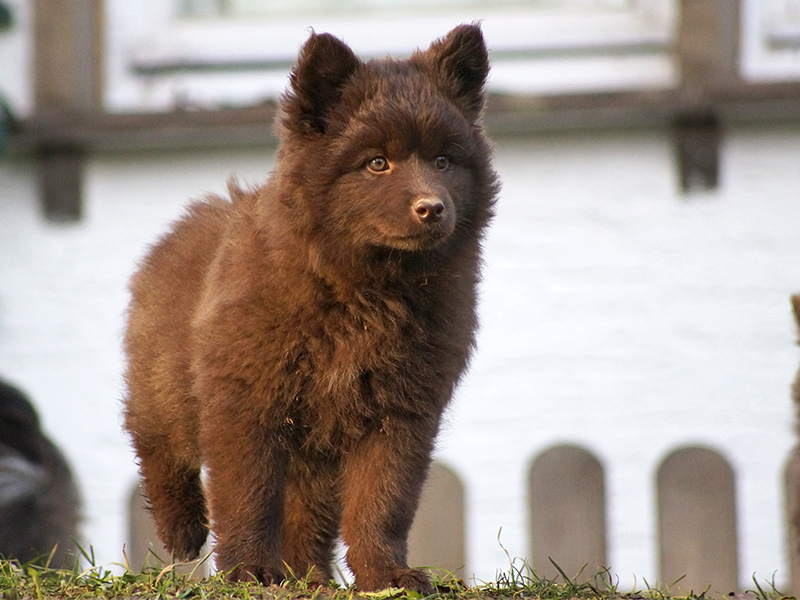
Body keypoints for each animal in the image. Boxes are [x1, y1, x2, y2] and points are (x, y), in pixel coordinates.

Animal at [122, 24, 496, 596]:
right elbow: (248, 495)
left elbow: (383, 501)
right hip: (167, 382)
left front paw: (386, 574)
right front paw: (250, 572)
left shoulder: (401, 412)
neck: (365, 292)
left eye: (443, 161)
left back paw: (308, 575)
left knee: (308, 515)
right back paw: (182, 528)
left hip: (314, 456)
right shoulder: (245, 400)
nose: (431, 208)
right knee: (156, 440)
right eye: (377, 162)